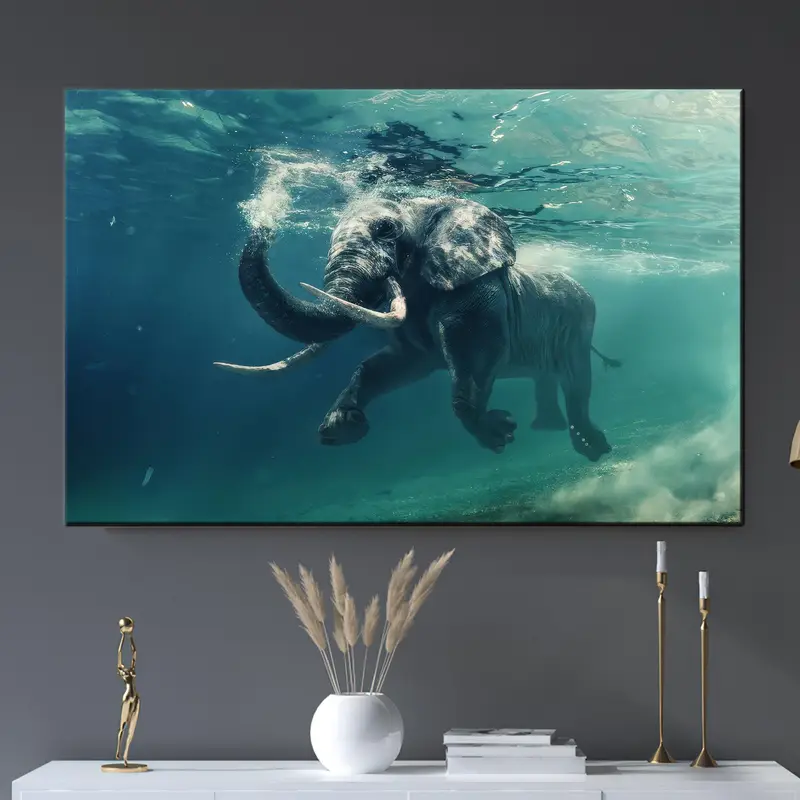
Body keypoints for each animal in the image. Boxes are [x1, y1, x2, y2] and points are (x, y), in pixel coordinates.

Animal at [215, 196, 620, 461]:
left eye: (385, 230)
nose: (264, 225)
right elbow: (391, 365)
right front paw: (341, 428)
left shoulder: (477, 292)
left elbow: (474, 357)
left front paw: (500, 434)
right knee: (549, 378)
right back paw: (549, 430)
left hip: (581, 324)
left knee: (577, 383)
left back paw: (592, 448)